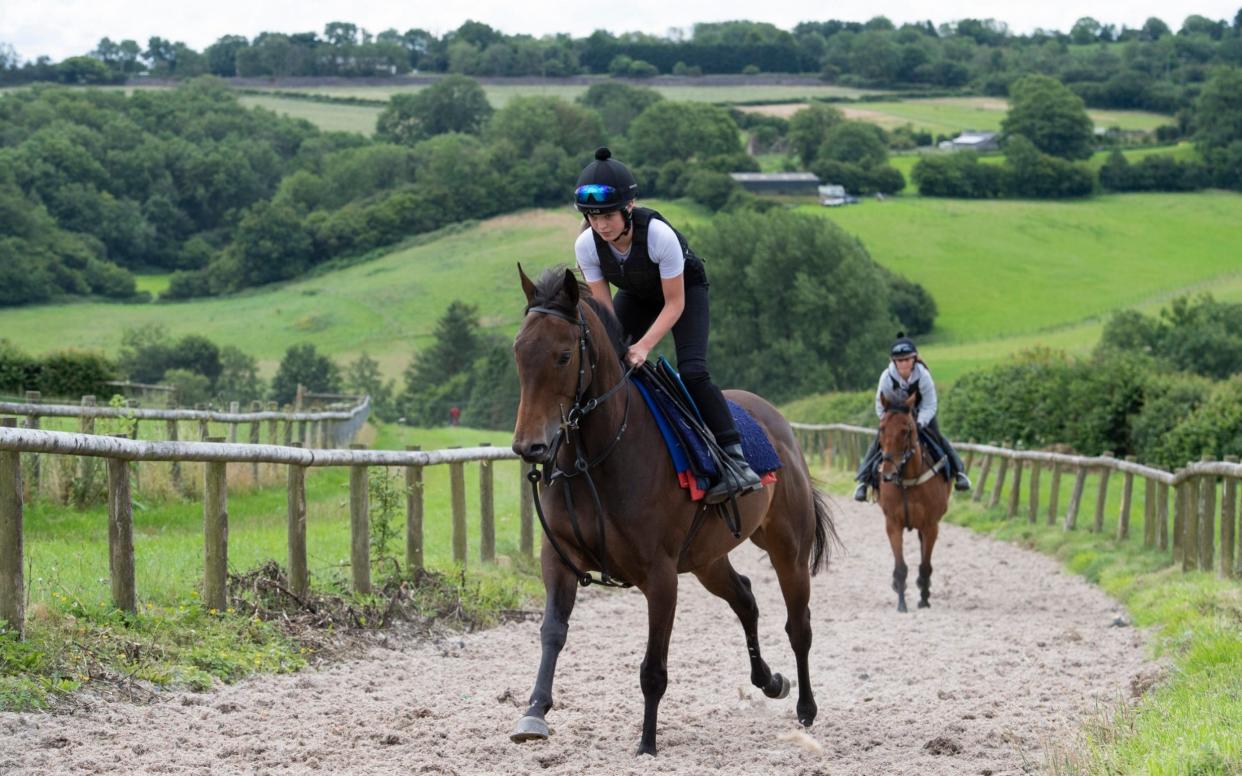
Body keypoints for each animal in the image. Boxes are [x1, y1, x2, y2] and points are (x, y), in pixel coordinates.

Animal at [509, 268, 839, 754]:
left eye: (564, 356)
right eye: (518, 351)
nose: (529, 446)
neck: (600, 457)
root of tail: (779, 425)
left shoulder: (660, 575)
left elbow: (653, 669)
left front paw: (647, 743)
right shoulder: (560, 557)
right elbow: (552, 632)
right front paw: (534, 713)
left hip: (788, 550)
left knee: (799, 626)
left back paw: (806, 707)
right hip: (706, 558)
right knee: (745, 597)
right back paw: (769, 681)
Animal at [874, 392, 948, 610]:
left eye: (906, 431)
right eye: (882, 428)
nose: (888, 473)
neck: (908, 480)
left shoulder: (931, 525)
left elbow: (925, 565)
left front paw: (924, 598)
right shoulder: (893, 524)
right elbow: (900, 566)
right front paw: (901, 603)